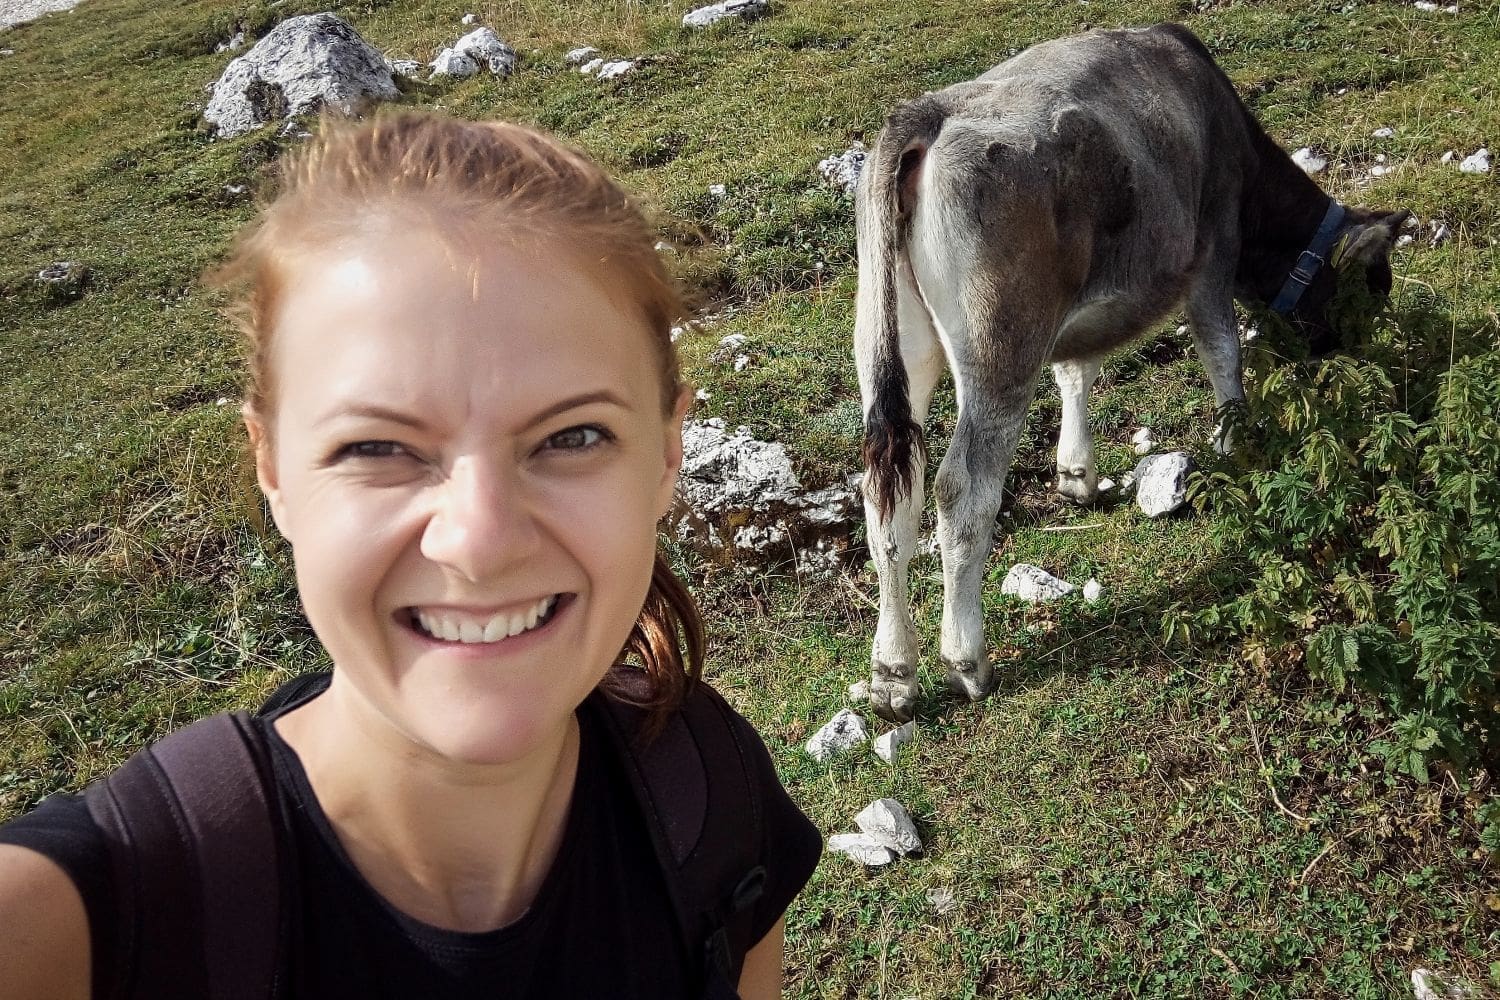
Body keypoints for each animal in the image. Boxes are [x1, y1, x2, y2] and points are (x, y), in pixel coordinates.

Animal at [858, 21, 1404, 719]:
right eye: (1374, 285)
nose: (1355, 359)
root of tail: (928, 113)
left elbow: (1076, 373)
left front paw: (1076, 474)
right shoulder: (1213, 244)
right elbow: (1220, 348)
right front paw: (1233, 442)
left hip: (891, 343)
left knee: (889, 491)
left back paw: (892, 673)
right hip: (1000, 344)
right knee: (961, 489)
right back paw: (968, 662)